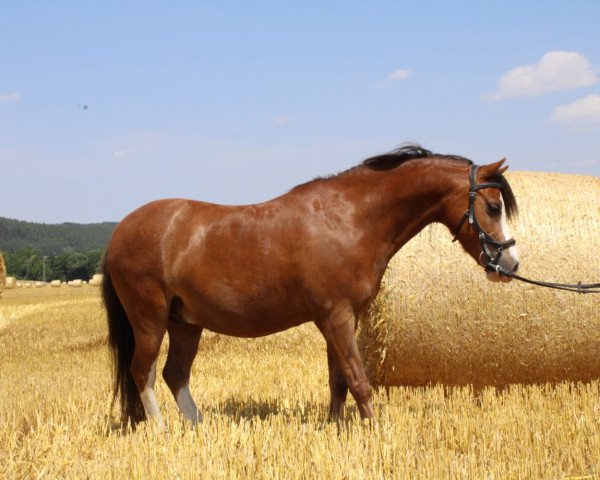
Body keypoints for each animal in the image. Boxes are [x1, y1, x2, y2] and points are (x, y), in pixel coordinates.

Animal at [101, 144, 516, 426]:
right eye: (493, 207)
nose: (509, 264)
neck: (349, 219)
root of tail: (121, 231)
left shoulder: (341, 319)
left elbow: (338, 381)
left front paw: (336, 427)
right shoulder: (336, 317)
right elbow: (359, 380)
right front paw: (376, 432)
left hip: (185, 323)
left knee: (174, 374)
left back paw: (198, 426)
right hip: (150, 319)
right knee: (143, 371)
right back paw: (160, 429)